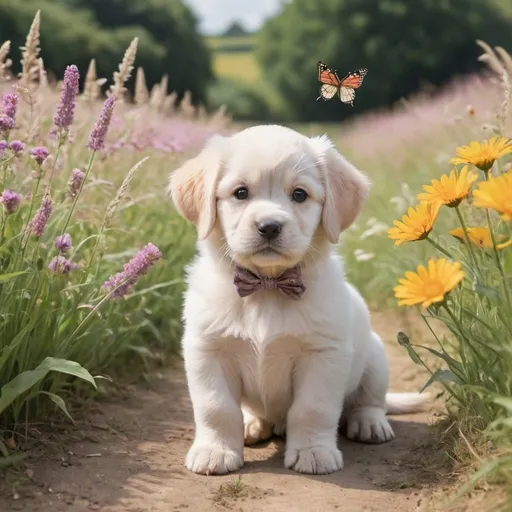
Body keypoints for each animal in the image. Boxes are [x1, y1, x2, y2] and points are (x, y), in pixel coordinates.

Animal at [168, 124, 428, 476]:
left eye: (300, 194)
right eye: (241, 193)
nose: (269, 226)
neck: (267, 287)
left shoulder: (323, 355)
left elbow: (312, 409)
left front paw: (313, 452)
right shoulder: (208, 350)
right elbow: (216, 407)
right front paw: (216, 450)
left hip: (375, 357)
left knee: (371, 401)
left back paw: (369, 423)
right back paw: (252, 423)